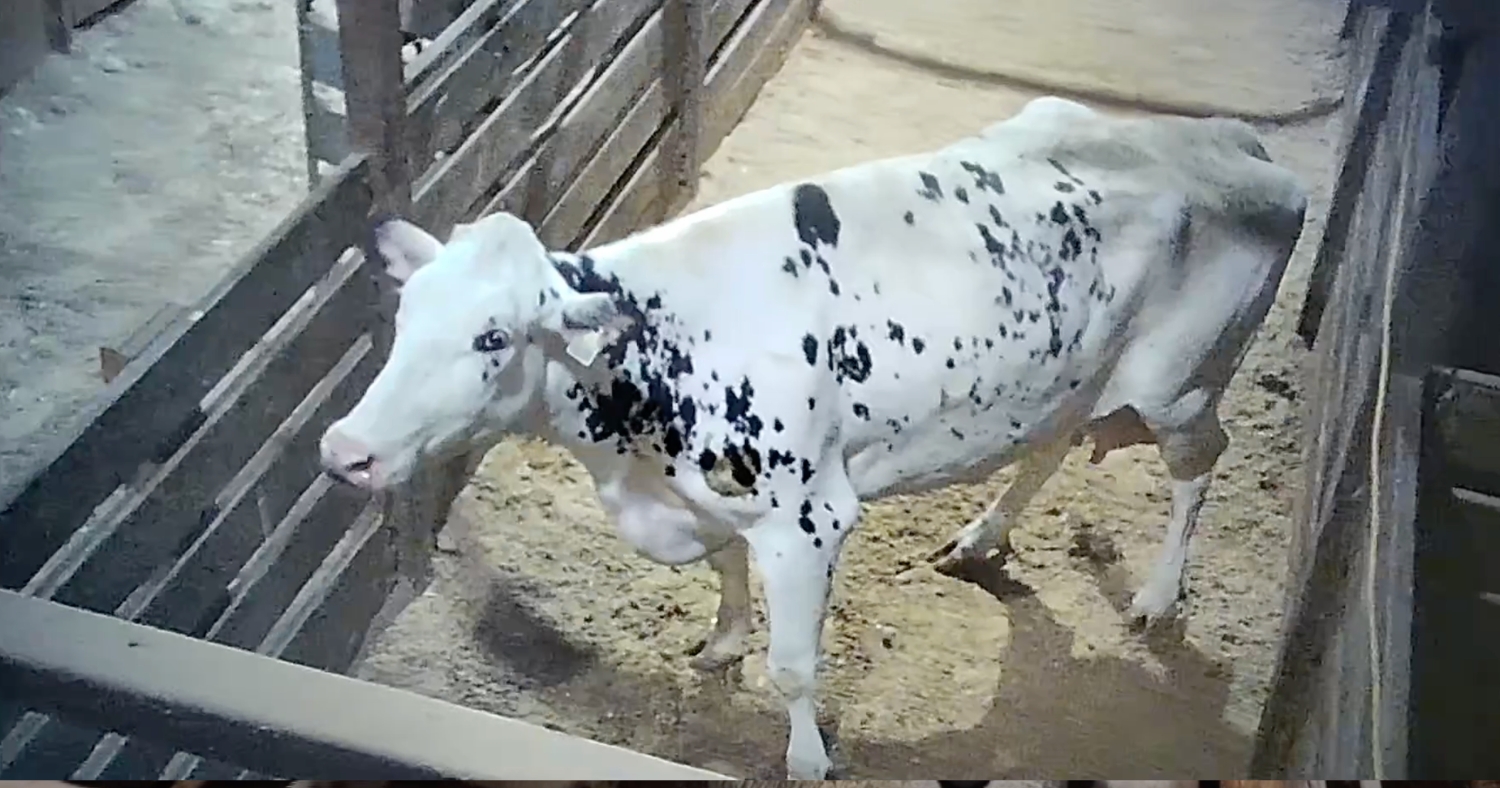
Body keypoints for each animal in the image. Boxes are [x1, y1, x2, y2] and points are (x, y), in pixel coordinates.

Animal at [318, 96, 1309, 778]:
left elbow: (793, 667)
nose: (343, 451)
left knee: (1201, 465)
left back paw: (1157, 595)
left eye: (493, 337)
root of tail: (1234, 143)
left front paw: (805, 759)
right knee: (1051, 444)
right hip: (1065, 376)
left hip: (1179, 386)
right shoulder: (706, 497)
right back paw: (981, 538)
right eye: (404, 314)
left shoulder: (807, 519)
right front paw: (721, 642)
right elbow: (724, 574)